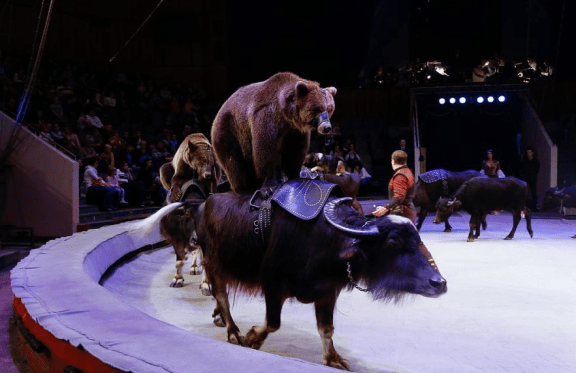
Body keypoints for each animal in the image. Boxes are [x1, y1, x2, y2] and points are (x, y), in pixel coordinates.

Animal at [189, 192, 446, 370]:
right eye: (393, 242)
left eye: (417, 240)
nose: (439, 283)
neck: (322, 243)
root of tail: (204, 204)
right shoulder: (273, 286)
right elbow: (273, 323)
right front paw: (253, 337)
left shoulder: (327, 293)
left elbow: (326, 328)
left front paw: (333, 358)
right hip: (214, 263)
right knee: (221, 295)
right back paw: (233, 332)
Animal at [210, 71, 338, 192]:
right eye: (317, 108)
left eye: (330, 108)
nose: (327, 127)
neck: (284, 114)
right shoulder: (266, 116)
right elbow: (265, 150)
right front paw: (269, 186)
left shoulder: (294, 131)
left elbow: (294, 151)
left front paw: (295, 175)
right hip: (228, 131)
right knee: (234, 162)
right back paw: (243, 186)